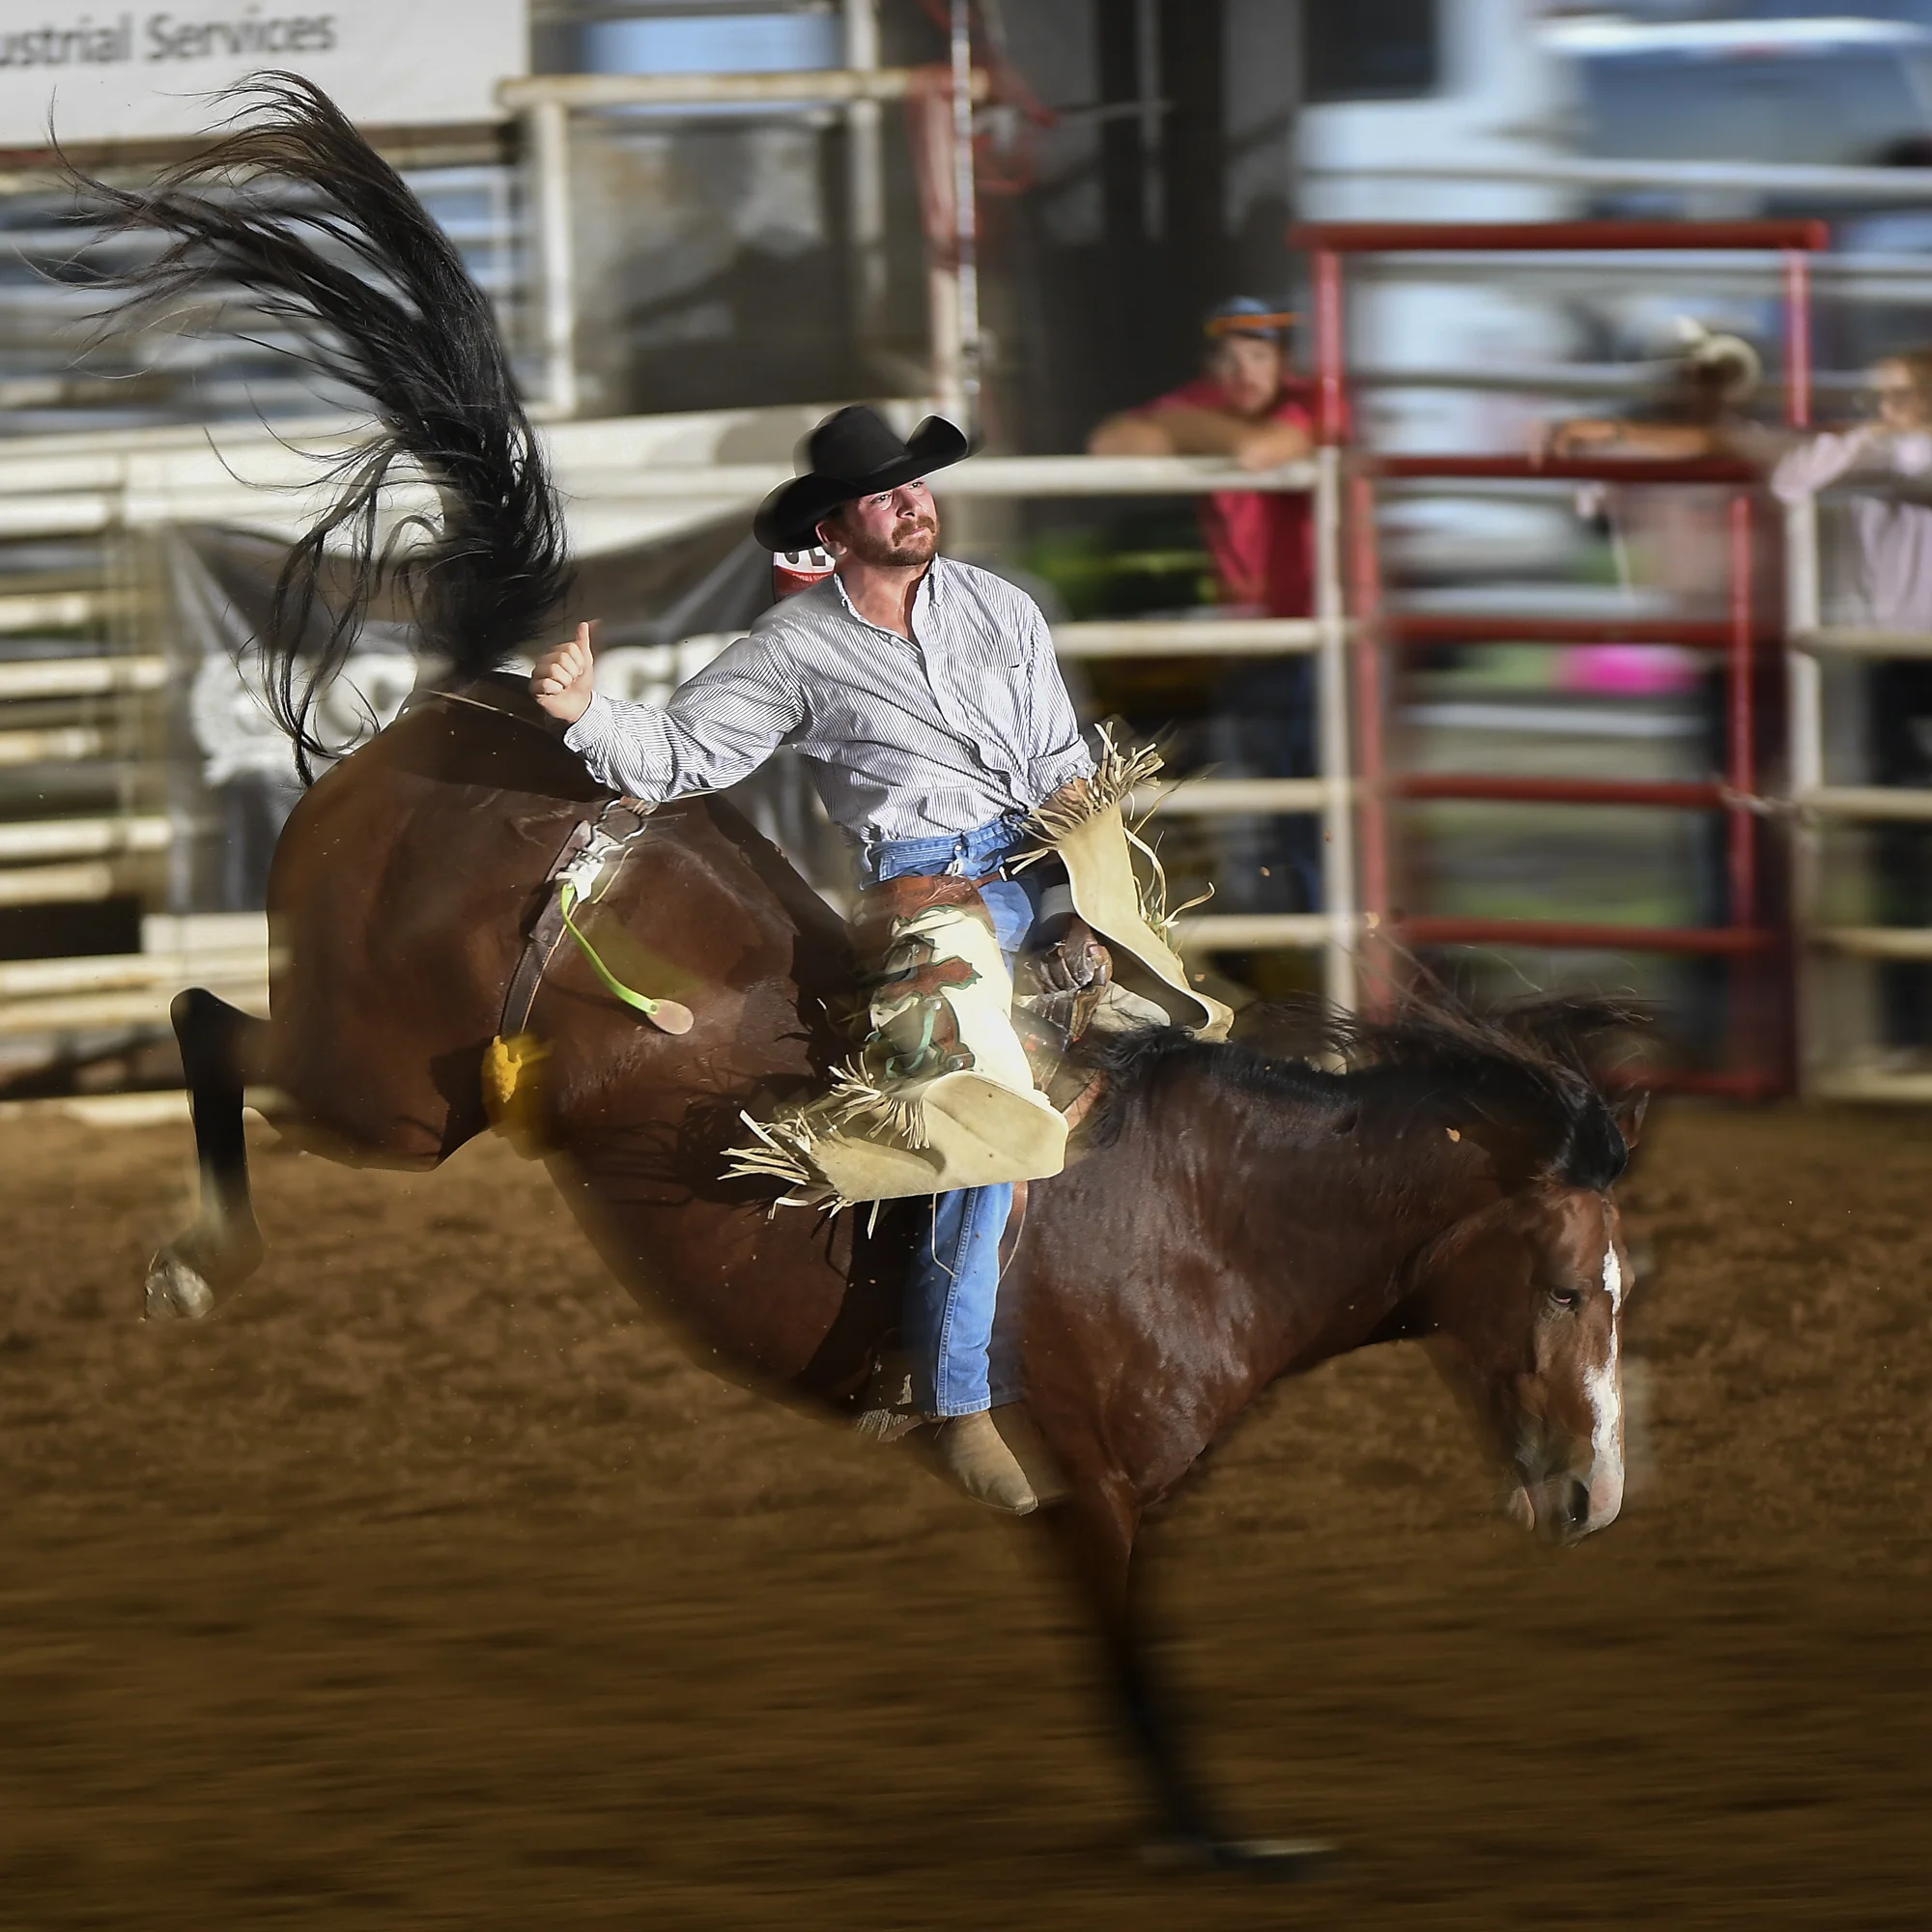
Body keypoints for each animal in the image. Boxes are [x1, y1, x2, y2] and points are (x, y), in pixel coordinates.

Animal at [92, 76, 1643, 1872]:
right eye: (1566, 1288)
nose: (1594, 1500)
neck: (1215, 1214)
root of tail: (470, 702)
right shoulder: (1096, 1500)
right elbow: (1143, 1690)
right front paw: (1226, 1842)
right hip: (385, 1092)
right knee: (209, 1023)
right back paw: (191, 1259)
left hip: (417, 1100)